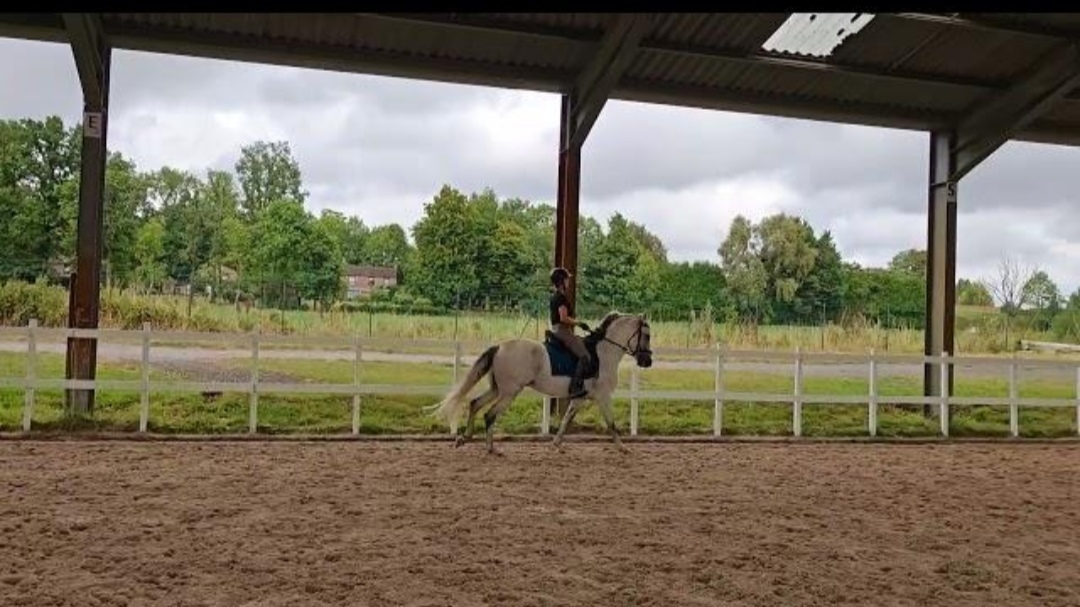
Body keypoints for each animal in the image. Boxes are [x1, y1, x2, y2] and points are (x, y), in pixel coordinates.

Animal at [425, 311, 653, 455]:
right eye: (647, 335)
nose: (647, 361)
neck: (604, 353)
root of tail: (499, 347)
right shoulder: (603, 396)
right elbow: (611, 423)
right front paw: (623, 448)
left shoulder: (580, 398)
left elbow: (566, 420)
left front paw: (557, 444)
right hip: (510, 393)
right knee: (490, 414)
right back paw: (491, 448)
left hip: (497, 389)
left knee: (475, 403)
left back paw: (465, 438)